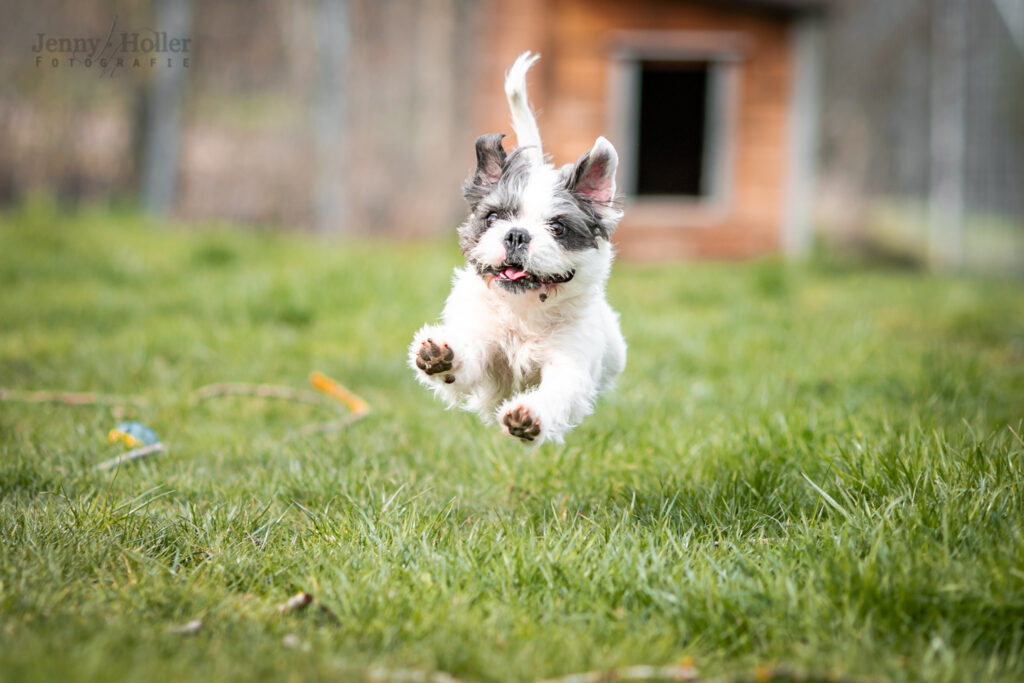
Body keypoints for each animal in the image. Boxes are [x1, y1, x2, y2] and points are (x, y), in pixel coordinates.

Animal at [407, 53, 622, 448]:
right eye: (494, 217)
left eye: (558, 228)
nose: (517, 235)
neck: (525, 314)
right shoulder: (483, 349)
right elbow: (466, 359)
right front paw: (440, 356)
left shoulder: (570, 365)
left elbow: (558, 393)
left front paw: (528, 418)